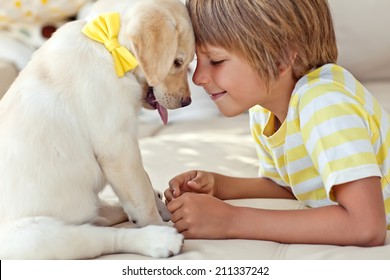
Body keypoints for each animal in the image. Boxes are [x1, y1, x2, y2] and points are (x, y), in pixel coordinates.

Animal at [0, 0, 195, 260]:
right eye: (177, 62)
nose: (187, 102)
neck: (106, 44)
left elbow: (143, 180)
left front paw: (161, 207)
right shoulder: (118, 149)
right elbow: (141, 195)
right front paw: (157, 221)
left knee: (98, 218)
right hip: (33, 237)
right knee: (100, 237)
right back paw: (159, 238)